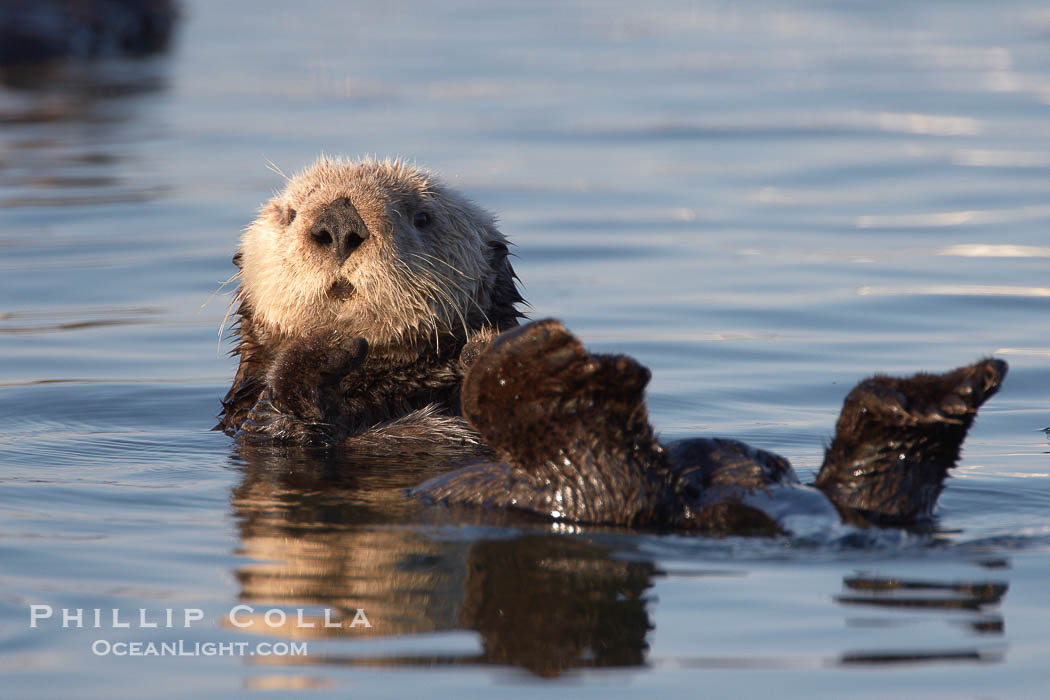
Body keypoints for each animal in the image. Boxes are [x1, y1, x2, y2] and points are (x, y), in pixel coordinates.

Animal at [219, 156, 1006, 534]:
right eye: (288, 213)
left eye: (421, 214)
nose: (337, 225)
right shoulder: (255, 427)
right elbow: (285, 414)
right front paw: (333, 346)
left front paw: (477, 349)